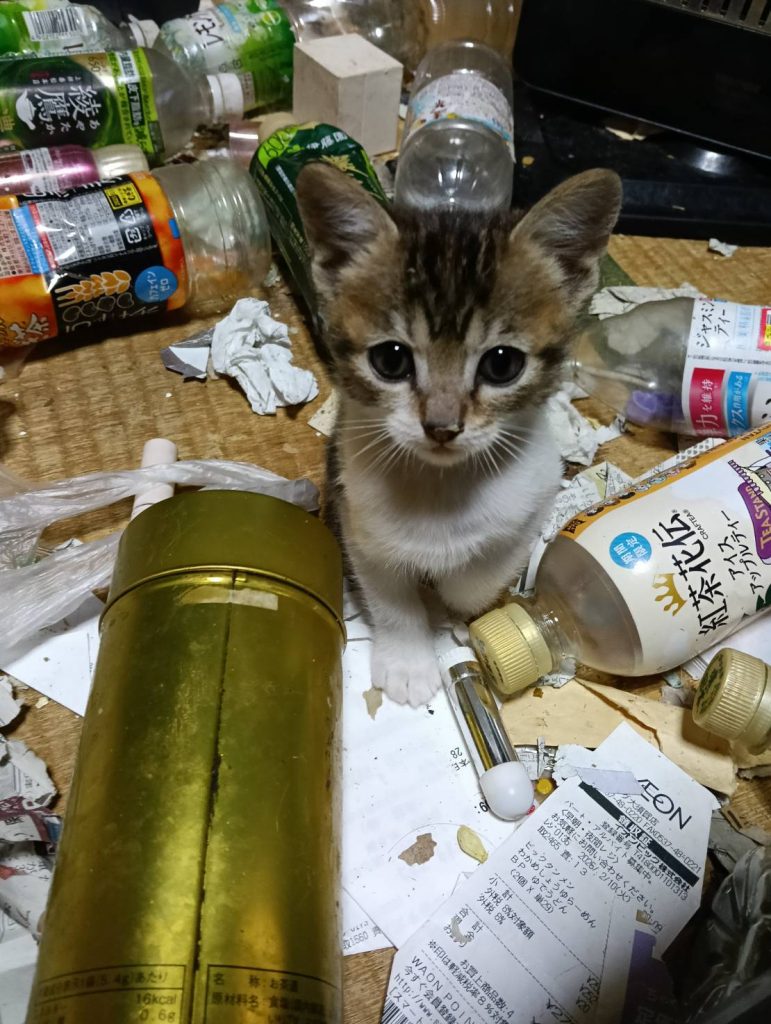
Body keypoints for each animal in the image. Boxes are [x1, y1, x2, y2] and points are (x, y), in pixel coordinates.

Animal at [296, 164, 622, 707]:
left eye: (502, 364)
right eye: (390, 360)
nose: (442, 426)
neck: (442, 489)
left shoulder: (536, 495)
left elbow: (484, 569)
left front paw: (456, 604)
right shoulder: (358, 522)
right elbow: (391, 598)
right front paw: (408, 662)